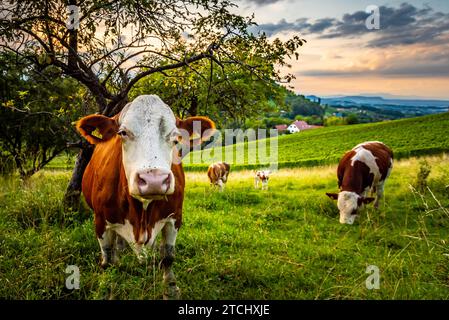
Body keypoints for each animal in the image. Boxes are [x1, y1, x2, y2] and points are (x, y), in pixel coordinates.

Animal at [75, 94, 215, 298]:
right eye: (123, 133)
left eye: (176, 137)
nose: (154, 180)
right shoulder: (100, 221)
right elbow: (107, 261)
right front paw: (107, 289)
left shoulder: (175, 218)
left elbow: (168, 257)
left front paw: (170, 290)